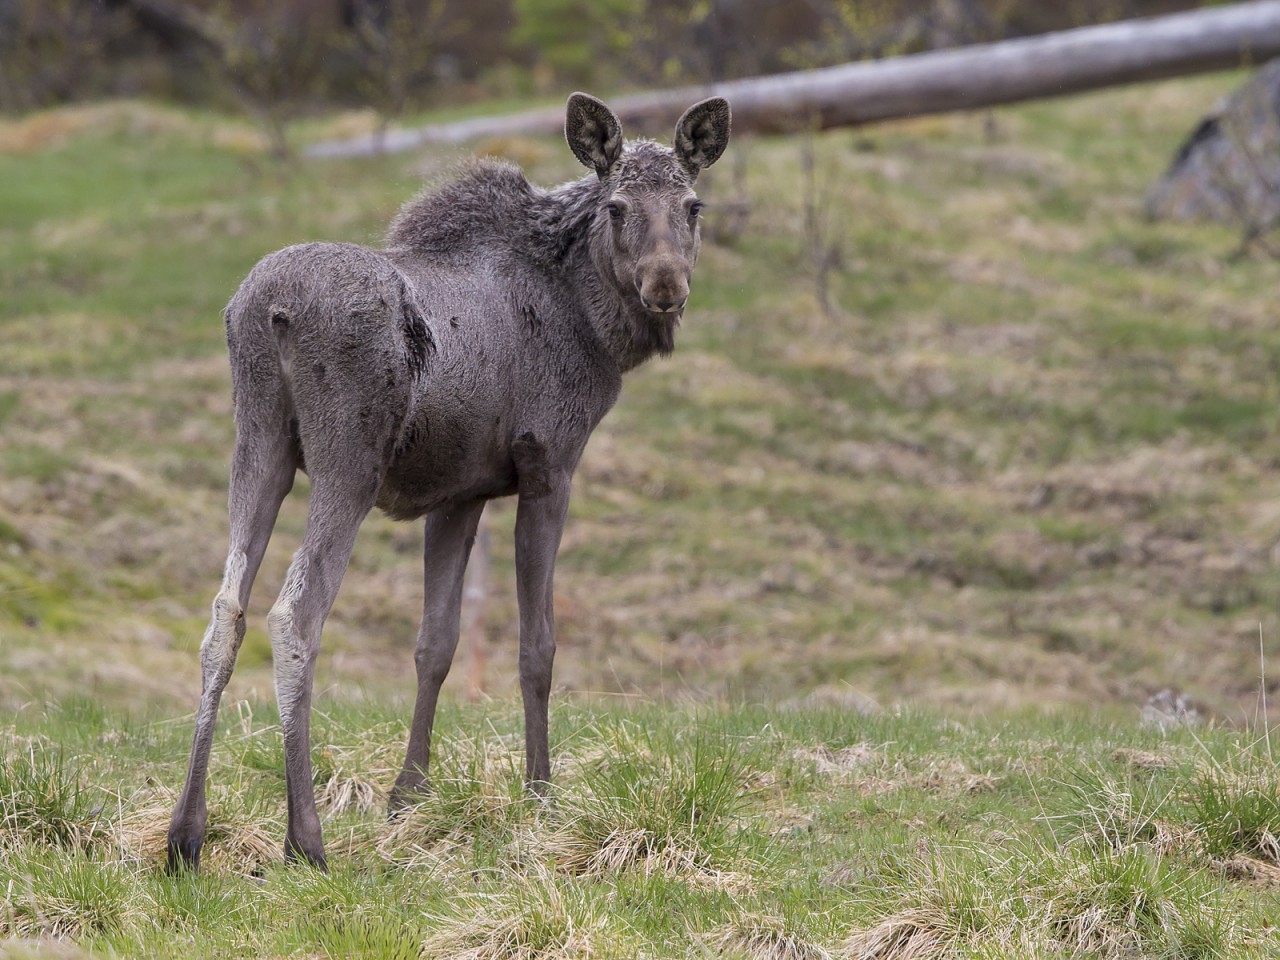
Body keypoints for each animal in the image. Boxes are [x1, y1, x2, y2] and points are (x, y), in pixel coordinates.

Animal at [167, 92, 732, 870]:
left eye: (693, 204)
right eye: (617, 206)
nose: (666, 285)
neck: (592, 327)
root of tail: (266, 310)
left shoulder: (460, 492)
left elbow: (435, 642)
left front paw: (408, 794)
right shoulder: (549, 465)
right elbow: (536, 646)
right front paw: (540, 794)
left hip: (259, 445)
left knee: (225, 611)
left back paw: (185, 835)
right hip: (348, 461)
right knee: (294, 614)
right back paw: (305, 841)